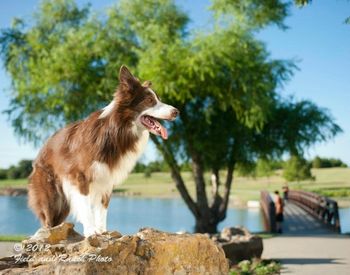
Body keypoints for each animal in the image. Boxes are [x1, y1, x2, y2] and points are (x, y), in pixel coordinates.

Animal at [28, 66, 179, 237]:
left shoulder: (107, 179)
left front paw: (103, 232)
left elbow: (102, 209)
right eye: (150, 101)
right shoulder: (79, 177)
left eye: (159, 99)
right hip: (50, 194)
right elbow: (86, 208)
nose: (177, 112)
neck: (117, 131)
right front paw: (91, 232)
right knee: (47, 217)